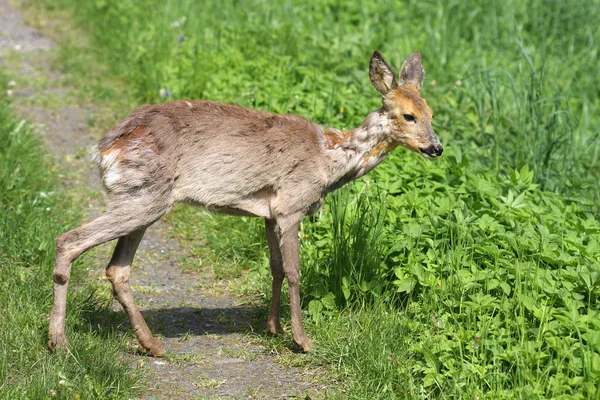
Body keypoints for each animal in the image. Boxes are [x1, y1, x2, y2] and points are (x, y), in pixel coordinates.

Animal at [49, 50, 440, 354]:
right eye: (408, 116)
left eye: (431, 114)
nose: (436, 148)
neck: (331, 159)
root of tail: (105, 149)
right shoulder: (291, 203)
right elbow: (295, 271)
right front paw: (302, 340)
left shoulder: (268, 213)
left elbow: (276, 268)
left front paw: (274, 328)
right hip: (144, 198)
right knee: (69, 240)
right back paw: (59, 342)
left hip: (143, 198)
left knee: (117, 269)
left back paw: (152, 344)